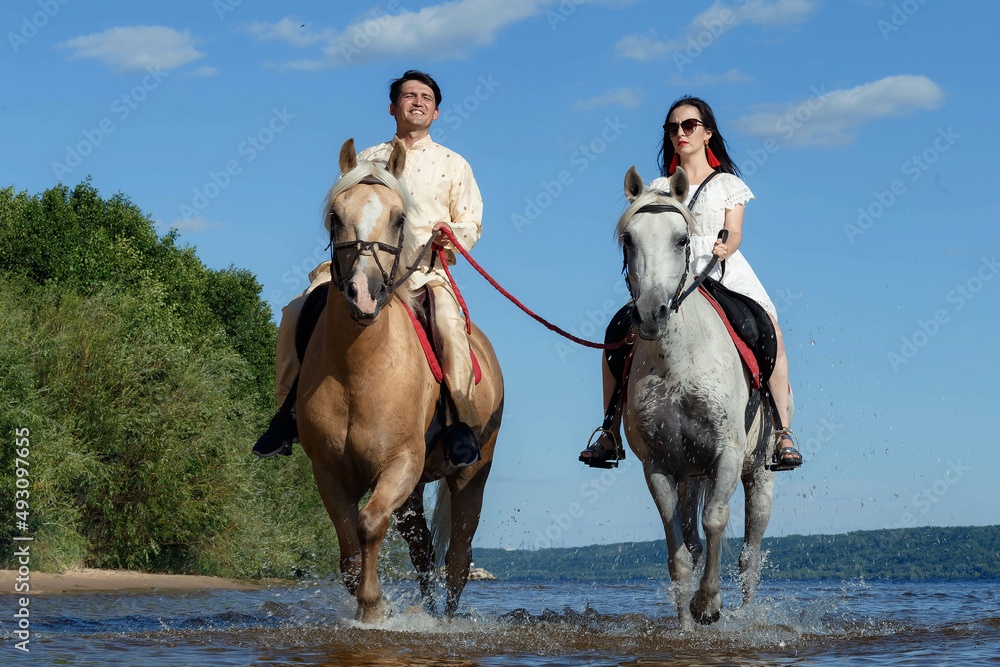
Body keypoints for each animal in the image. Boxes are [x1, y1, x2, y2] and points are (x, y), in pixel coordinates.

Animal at [294, 140, 500, 620]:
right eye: (336, 216)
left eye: (398, 217)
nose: (363, 295)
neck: (360, 370)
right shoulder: (328, 470)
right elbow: (349, 550)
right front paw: (365, 604)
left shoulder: (399, 464)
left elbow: (369, 524)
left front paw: (372, 607)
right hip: (414, 490)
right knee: (424, 552)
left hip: (470, 478)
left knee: (456, 559)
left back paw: (445, 620)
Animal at [612, 164, 784, 628]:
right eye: (628, 238)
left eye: (681, 239)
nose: (651, 314)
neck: (679, 362)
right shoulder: (658, 465)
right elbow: (680, 554)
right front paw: (688, 624)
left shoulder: (727, 453)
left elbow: (716, 520)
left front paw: (708, 603)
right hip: (691, 476)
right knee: (692, 541)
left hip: (759, 473)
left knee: (750, 557)